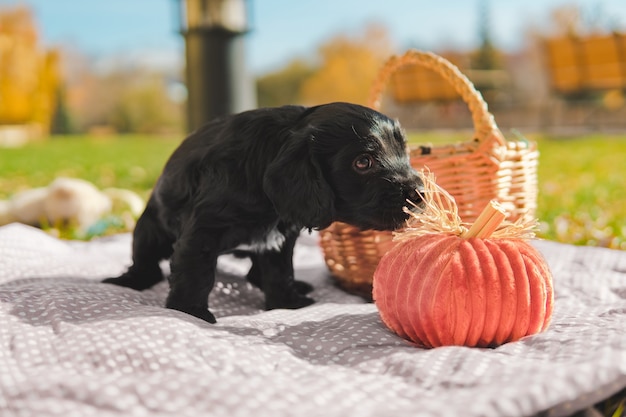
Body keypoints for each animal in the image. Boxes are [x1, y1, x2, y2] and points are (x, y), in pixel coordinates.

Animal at [103, 103, 424, 322]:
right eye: (363, 162)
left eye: (403, 152)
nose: (420, 191)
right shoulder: (202, 231)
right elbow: (196, 272)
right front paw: (189, 311)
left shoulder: (280, 236)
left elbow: (280, 271)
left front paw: (287, 303)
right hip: (148, 230)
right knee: (145, 262)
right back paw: (129, 280)